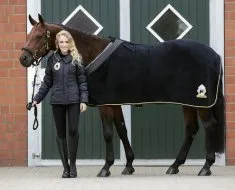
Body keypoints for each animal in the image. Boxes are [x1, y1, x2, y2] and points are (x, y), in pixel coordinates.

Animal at [19, 14, 225, 177]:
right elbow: (122, 130)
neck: (95, 52)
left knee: (210, 126)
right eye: (28, 35)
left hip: (200, 103)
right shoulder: (114, 103)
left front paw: (106, 168)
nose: (23, 59)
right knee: (191, 129)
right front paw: (129, 165)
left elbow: (108, 133)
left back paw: (206, 167)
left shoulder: (105, 105)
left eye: (39, 36)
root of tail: (214, 55)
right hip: (189, 103)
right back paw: (175, 166)